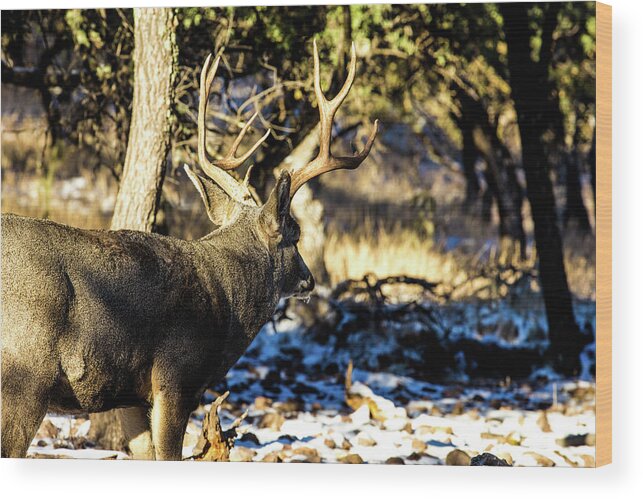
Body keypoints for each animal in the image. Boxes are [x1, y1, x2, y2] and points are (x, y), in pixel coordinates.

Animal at [1, 43, 378, 460]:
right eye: (295, 235)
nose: (309, 281)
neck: (227, 303)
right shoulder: (177, 374)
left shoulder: (130, 395)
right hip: (26, 373)